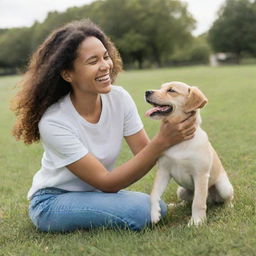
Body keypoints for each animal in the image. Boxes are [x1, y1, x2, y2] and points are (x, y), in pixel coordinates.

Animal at [145, 80, 233, 226]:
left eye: (171, 90)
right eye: (161, 87)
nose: (147, 92)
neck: (180, 142)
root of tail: (211, 200)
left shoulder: (201, 175)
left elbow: (198, 202)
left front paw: (196, 222)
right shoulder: (163, 171)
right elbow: (154, 193)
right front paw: (154, 214)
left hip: (223, 187)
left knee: (225, 198)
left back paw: (228, 207)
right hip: (181, 190)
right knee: (187, 201)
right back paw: (175, 205)